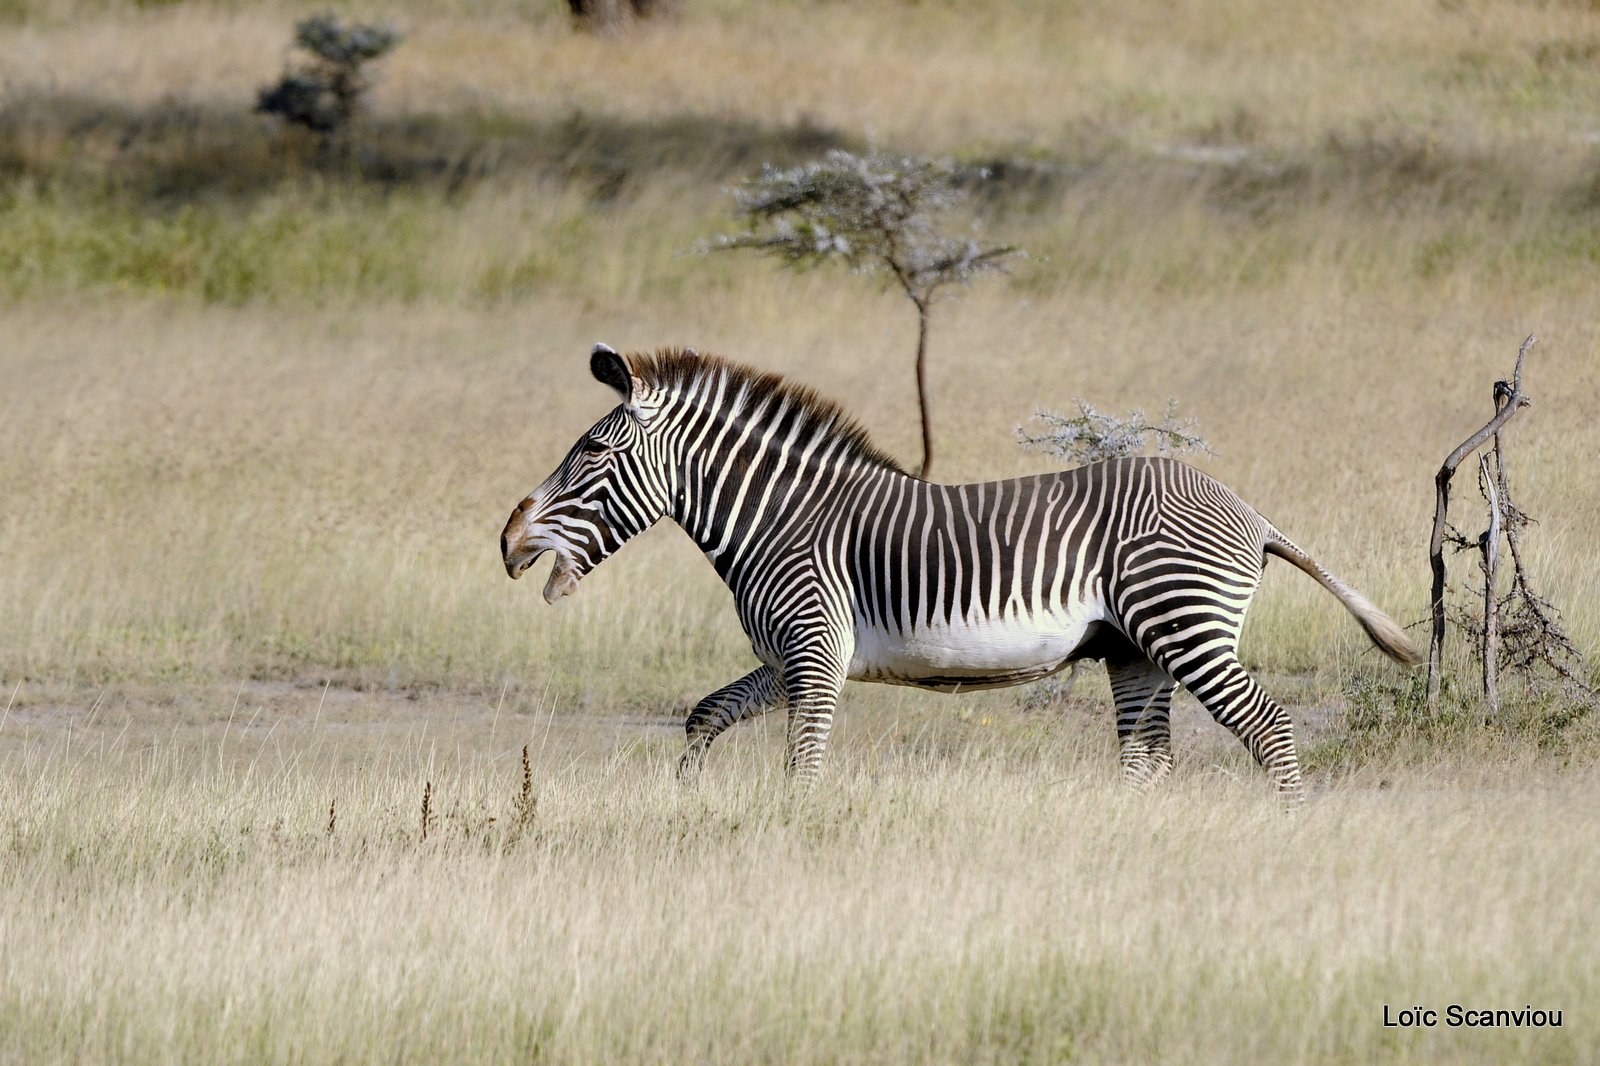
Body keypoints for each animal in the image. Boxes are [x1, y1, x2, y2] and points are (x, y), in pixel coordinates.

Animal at [502, 344, 1427, 800]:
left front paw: (791, 838)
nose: (508, 542)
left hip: (1184, 622)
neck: (780, 518)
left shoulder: (814, 649)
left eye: (592, 452)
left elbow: (804, 763)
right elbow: (704, 715)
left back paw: (1289, 828)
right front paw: (688, 802)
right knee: (1149, 759)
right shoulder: (791, 657)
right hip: (1137, 650)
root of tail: (1249, 512)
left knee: (1269, 728)